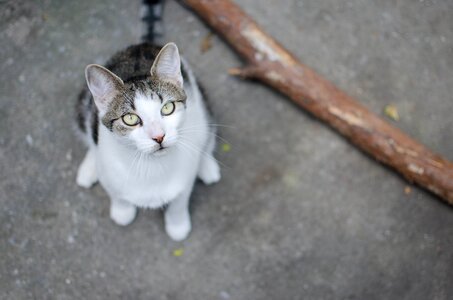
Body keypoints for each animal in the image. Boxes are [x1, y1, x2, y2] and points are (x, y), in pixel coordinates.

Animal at [74, 0, 219, 240]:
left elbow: (180, 199)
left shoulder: (185, 177)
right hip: (83, 104)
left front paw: (177, 225)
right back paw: (88, 168)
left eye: (168, 108)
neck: (152, 167)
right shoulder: (110, 169)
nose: (159, 136)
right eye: (131, 118)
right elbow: (116, 192)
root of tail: (143, 44)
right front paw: (122, 211)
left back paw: (206, 164)